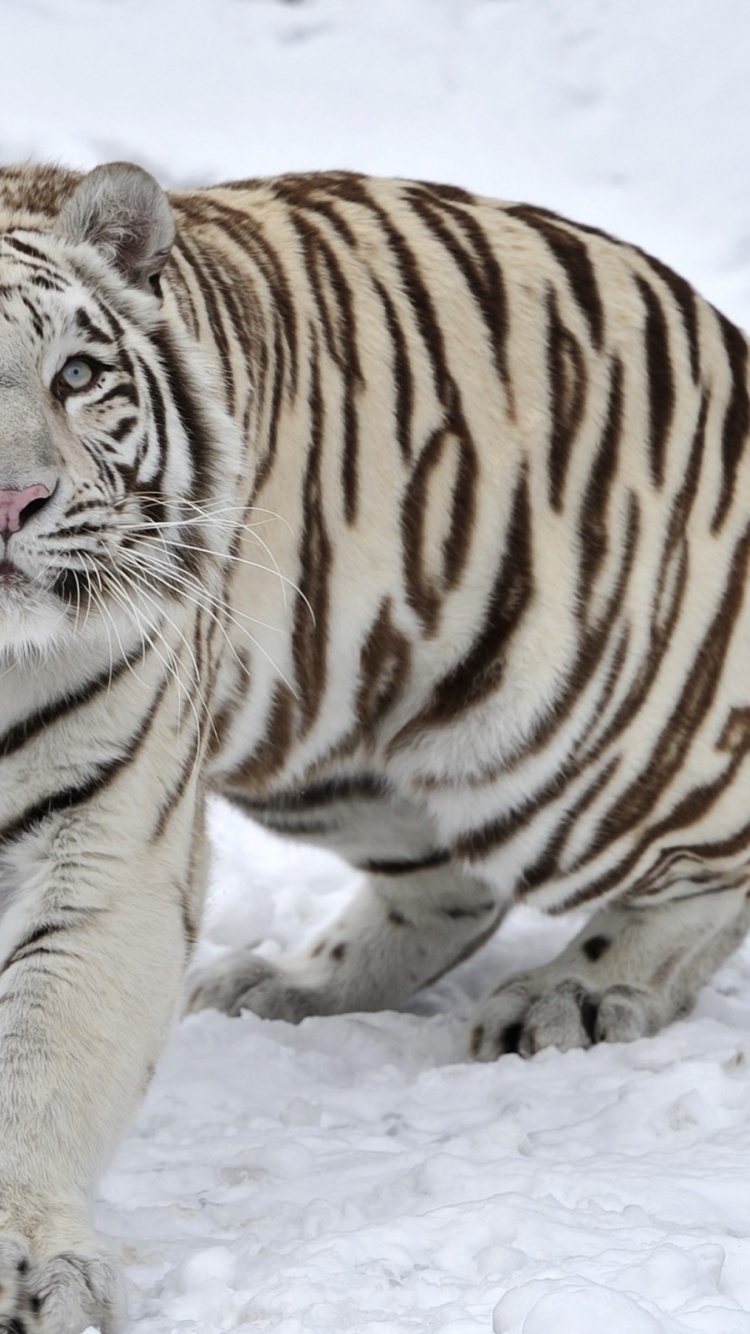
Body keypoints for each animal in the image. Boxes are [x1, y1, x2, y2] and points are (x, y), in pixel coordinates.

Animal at [0, 161, 747, 1328]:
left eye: (75, 374)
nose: (15, 501)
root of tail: (723, 333)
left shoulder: (106, 846)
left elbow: (42, 1064)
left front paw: (35, 1268)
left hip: (572, 739)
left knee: (708, 846)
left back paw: (574, 995)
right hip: (326, 746)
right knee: (448, 883)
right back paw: (291, 985)